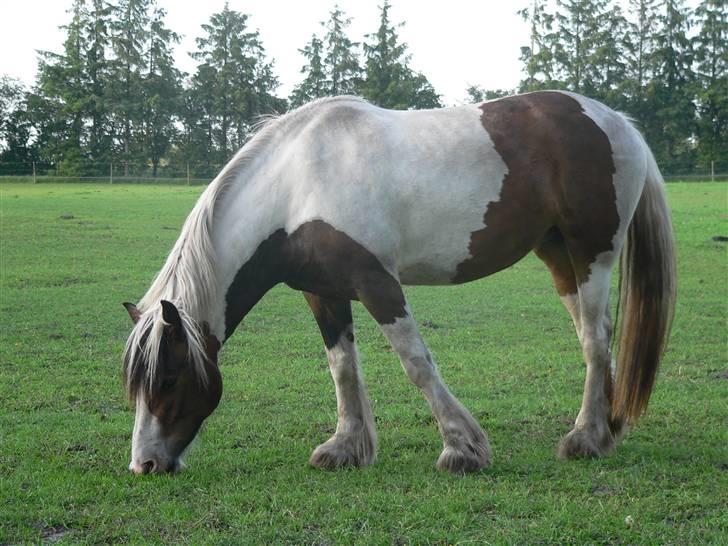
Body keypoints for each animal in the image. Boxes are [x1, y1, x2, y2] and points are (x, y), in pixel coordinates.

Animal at [121, 90, 676, 472]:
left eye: (167, 379)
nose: (145, 465)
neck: (296, 186)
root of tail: (615, 121)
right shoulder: (322, 293)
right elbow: (342, 367)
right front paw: (346, 447)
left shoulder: (377, 283)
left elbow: (416, 363)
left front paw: (462, 448)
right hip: (559, 256)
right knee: (595, 333)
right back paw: (609, 426)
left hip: (592, 254)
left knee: (595, 339)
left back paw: (586, 438)